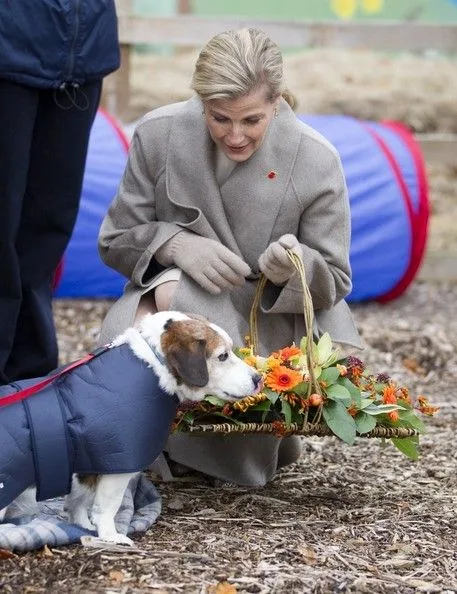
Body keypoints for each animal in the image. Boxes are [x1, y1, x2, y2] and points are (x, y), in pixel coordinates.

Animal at [0, 312, 260, 544]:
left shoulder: (87, 464)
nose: (258, 378)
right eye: (222, 356)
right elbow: (106, 508)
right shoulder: (117, 467)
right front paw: (110, 535)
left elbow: (78, 503)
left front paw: (83, 526)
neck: (154, 363)